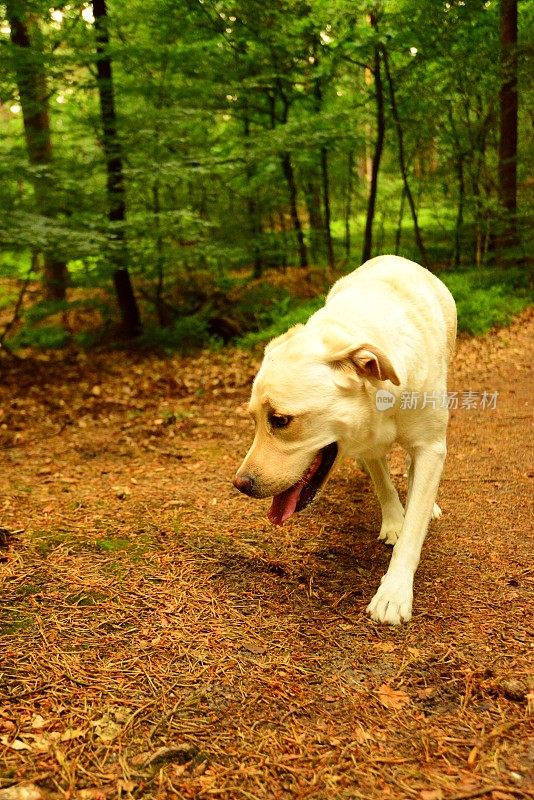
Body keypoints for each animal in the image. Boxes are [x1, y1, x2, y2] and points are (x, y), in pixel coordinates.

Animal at [233, 256, 456, 624]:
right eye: (253, 419)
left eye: (280, 420)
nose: (241, 484)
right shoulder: (367, 441)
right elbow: (383, 484)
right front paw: (394, 520)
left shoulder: (430, 445)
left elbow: (413, 529)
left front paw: (394, 592)